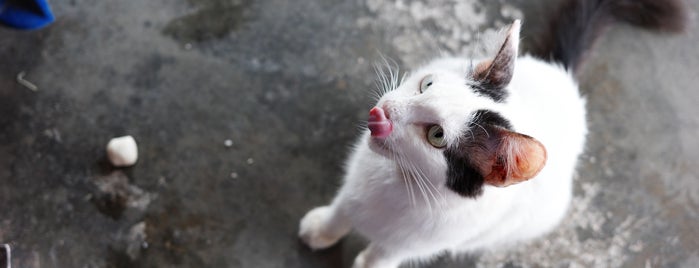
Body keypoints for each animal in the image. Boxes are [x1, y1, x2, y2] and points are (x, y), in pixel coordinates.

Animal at [298, 0, 688, 266]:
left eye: (436, 136)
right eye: (426, 84)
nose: (381, 114)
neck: (399, 180)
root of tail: (561, 75)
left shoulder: (412, 244)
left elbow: (379, 257)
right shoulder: (354, 184)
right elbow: (342, 208)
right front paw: (322, 229)